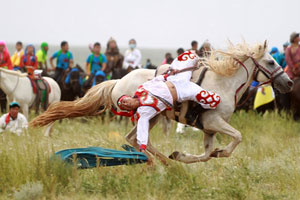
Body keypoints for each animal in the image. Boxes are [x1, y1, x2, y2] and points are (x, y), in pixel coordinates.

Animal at [30, 41, 292, 164]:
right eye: (270, 62)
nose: (288, 82)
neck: (223, 83)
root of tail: (117, 82)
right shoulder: (213, 122)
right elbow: (236, 138)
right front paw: (217, 152)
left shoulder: (208, 128)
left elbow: (207, 153)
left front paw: (182, 155)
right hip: (152, 115)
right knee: (137, 140)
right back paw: (162, 160)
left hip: (153, 117)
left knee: (133, 139)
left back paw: (165, 160)